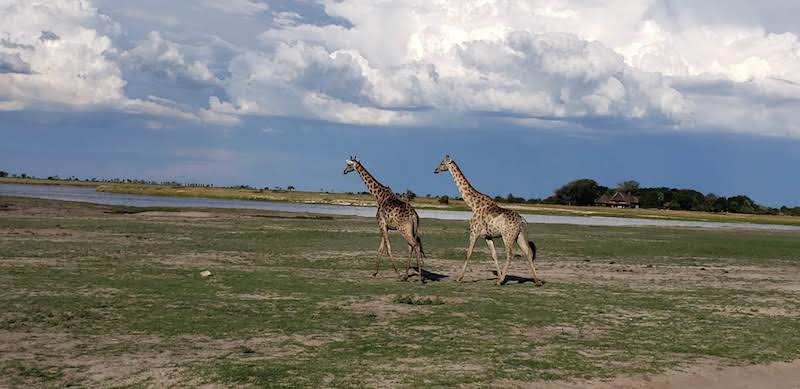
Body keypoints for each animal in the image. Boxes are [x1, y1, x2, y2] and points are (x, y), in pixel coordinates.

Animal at [434, 155, 540, 284]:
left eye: (442, 163)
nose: (435, 170)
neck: (473, 205)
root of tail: (522, 220)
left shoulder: (474, 232)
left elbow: (468, 253)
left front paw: (459, 278)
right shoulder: (487, 236)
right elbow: (494, 255)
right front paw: (499, 275)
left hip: (507, 236)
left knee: (510, 254)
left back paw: (501, 282)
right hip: (519, 235)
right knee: (528, 252)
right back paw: (537, 281)